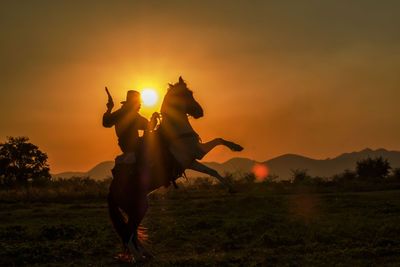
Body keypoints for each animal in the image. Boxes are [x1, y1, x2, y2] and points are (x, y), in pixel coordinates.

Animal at [107, 76, 244, 262]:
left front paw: (231, 187)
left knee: (132, 232)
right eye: (188, 94)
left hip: (133, 208)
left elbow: (212, 171)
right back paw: (139, 258)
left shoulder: (191, 161)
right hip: (138, 207)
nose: (200, 112)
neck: (176, 131)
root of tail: (112, 189)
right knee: (128, 233)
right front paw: (236, 147)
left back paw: (146, 253)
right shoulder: (198, 152)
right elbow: (218, 140)